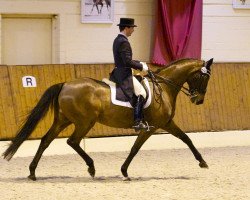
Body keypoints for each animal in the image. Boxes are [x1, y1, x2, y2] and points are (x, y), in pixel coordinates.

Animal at [1, 57, 213, 181]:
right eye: (205, 78)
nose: (199, 100)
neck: (164, 87)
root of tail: (65, 84)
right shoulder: (158, 125)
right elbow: (184, 139)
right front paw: (202, 162)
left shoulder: (158, 125)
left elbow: (137, 147)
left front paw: (124, 171)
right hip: (84, 122)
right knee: (72, 141)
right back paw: (91, 168)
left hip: (63, 120)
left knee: (46, 140)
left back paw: (32, 172)